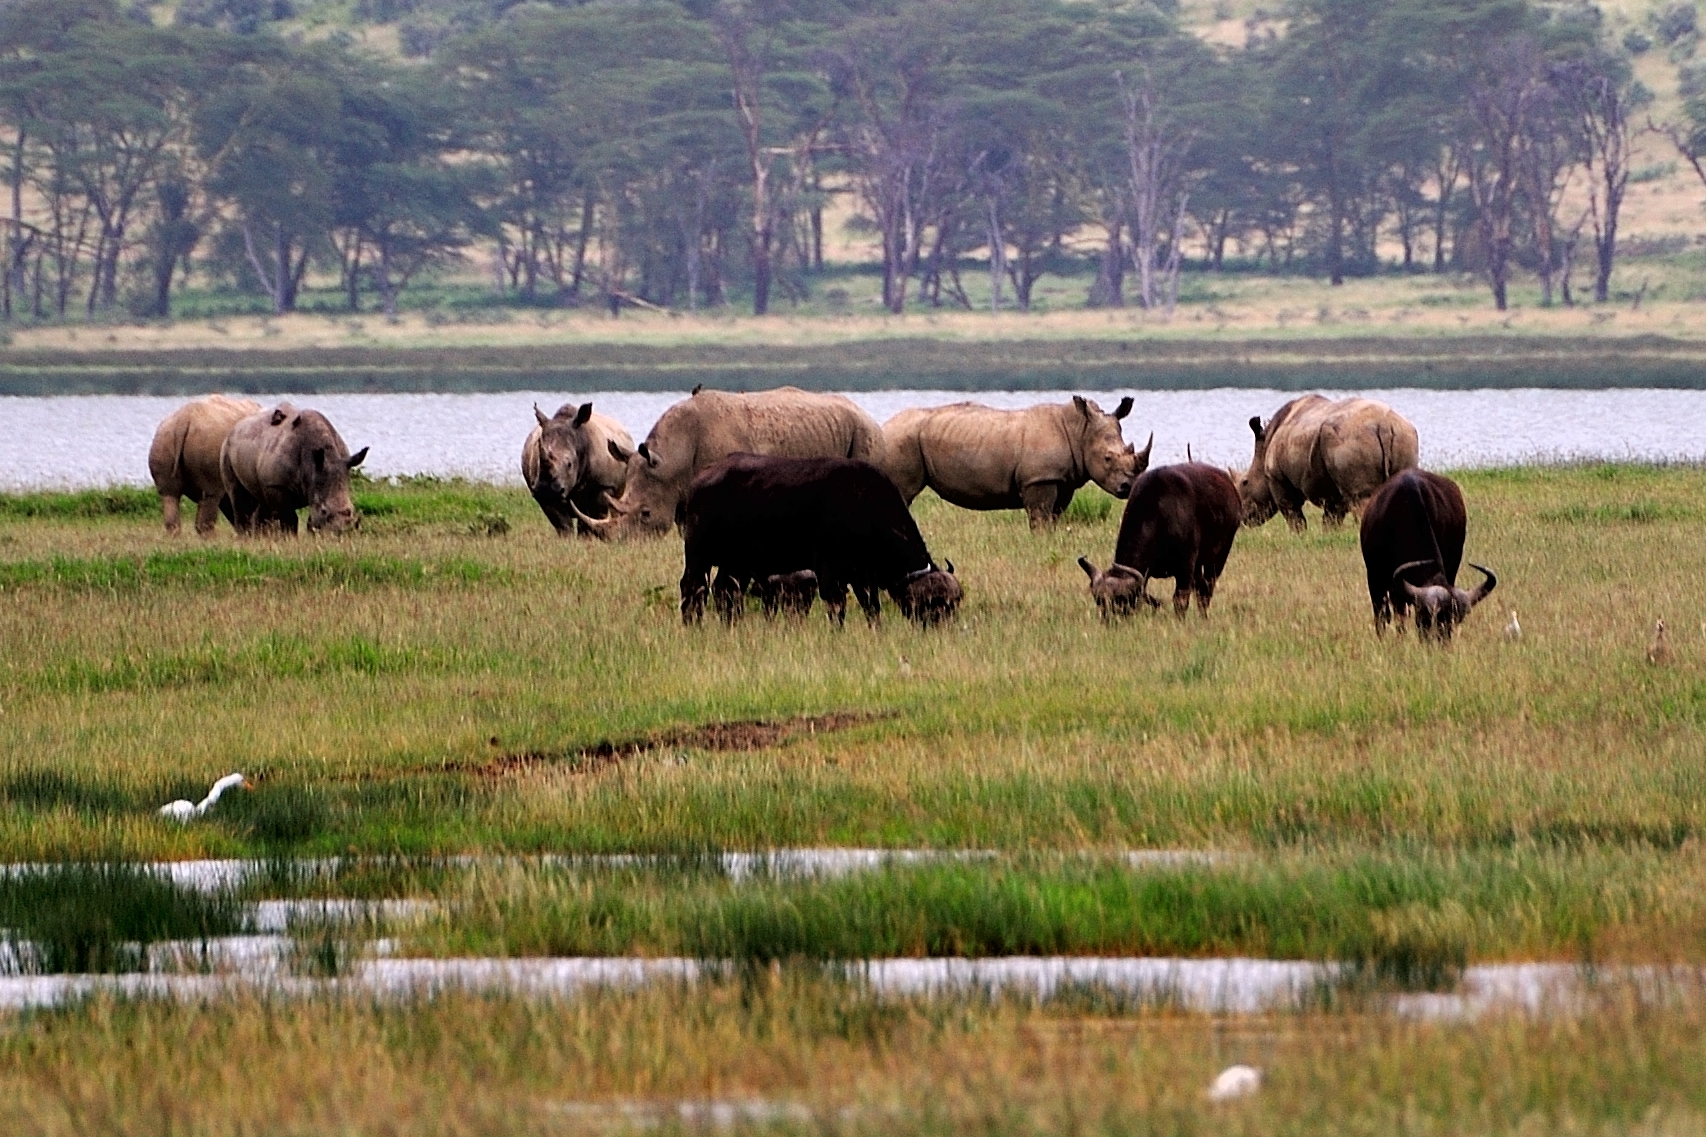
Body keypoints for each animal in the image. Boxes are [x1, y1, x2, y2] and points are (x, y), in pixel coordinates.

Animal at [678, 454, 962, 628]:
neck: (865, 505)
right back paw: (694, 627)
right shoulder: (830, 571)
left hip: (738, 563)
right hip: (698, 554)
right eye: (934, 603)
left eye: (955, 603)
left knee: (724, 592)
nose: (946, 628)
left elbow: (872, 608)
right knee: (693, 589)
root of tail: (698, 481)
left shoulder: (863, 576)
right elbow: (837, 607)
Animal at [1078, 464, 1241, 621]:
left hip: (1219, 556)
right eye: (1098, 600)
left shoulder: (1185, 566)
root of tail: (1230, 485)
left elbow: (1180, 600)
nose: (1110, 621)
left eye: (1124, 599)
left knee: (1207, 588)